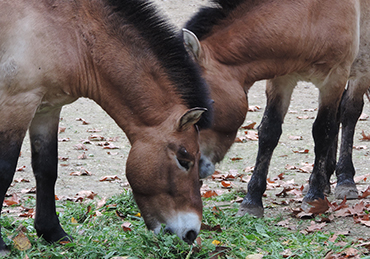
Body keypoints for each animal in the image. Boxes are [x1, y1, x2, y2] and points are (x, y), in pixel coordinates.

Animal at [0, 0, 214, 250]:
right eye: (184, 160)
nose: (191, 233)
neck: (71, 31)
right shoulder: (17, 103)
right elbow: (5, 170)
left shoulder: (47, 110)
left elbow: (46, 168)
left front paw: (53, 232)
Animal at [184, 0, 362, 219]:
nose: (191, 164)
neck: (310, 13)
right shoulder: (280, 80)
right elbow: (269, 132)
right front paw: (252, 201)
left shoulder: (334, 79)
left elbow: (323, 132)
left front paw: (314, 196)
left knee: (349, 112)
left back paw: (345, 179)